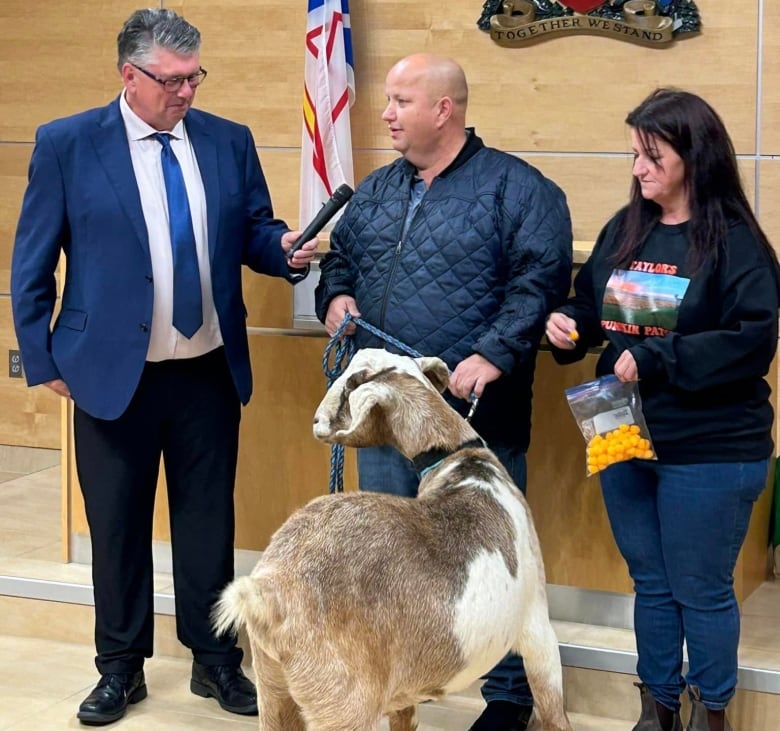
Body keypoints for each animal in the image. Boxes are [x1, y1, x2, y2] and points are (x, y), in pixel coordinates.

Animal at [213, 348, 572, 731]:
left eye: (350, 384)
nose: (315, 420)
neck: (462, 463)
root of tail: (266, 591)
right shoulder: (538, 631)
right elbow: (554, 709)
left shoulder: (404, 691)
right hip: (344, 704)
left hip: (274, 688)